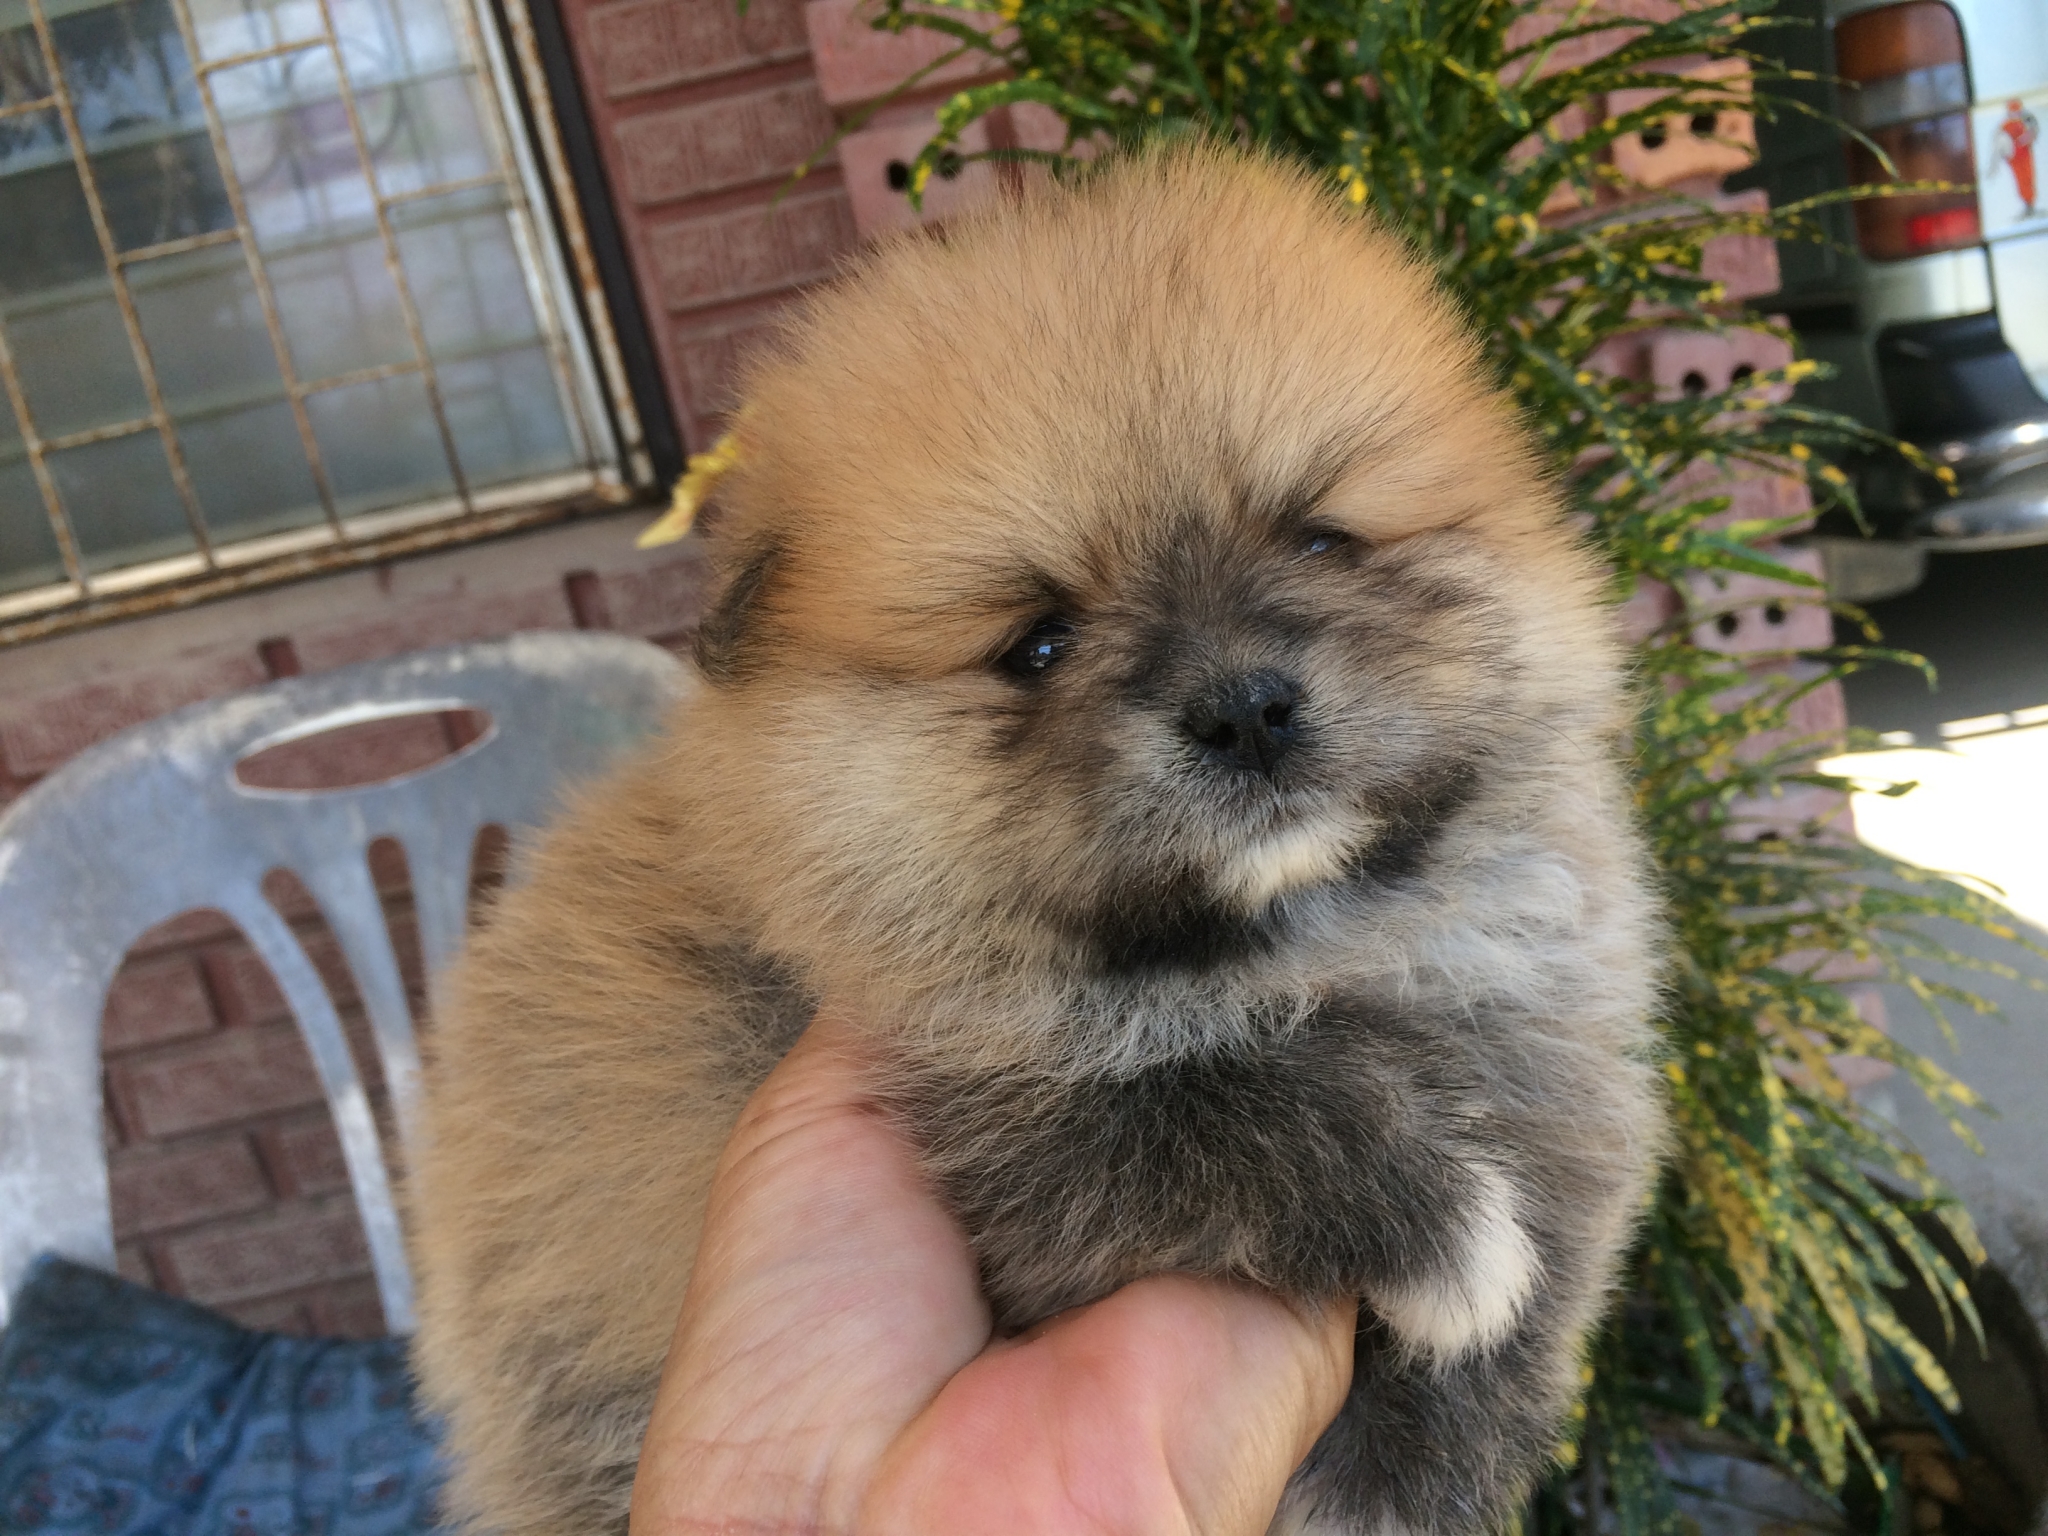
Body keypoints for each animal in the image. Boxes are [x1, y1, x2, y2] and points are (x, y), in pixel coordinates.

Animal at [409, 141, 1665, 1536]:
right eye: (1039, 646)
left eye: (1320, 537)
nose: (1244, 707)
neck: (1297, 942)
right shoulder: (977, 1108)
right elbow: (1198, 1109)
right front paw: (1442, 1227)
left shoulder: (1545, 1037)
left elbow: (1550, 1243)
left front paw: (1413, 1461)